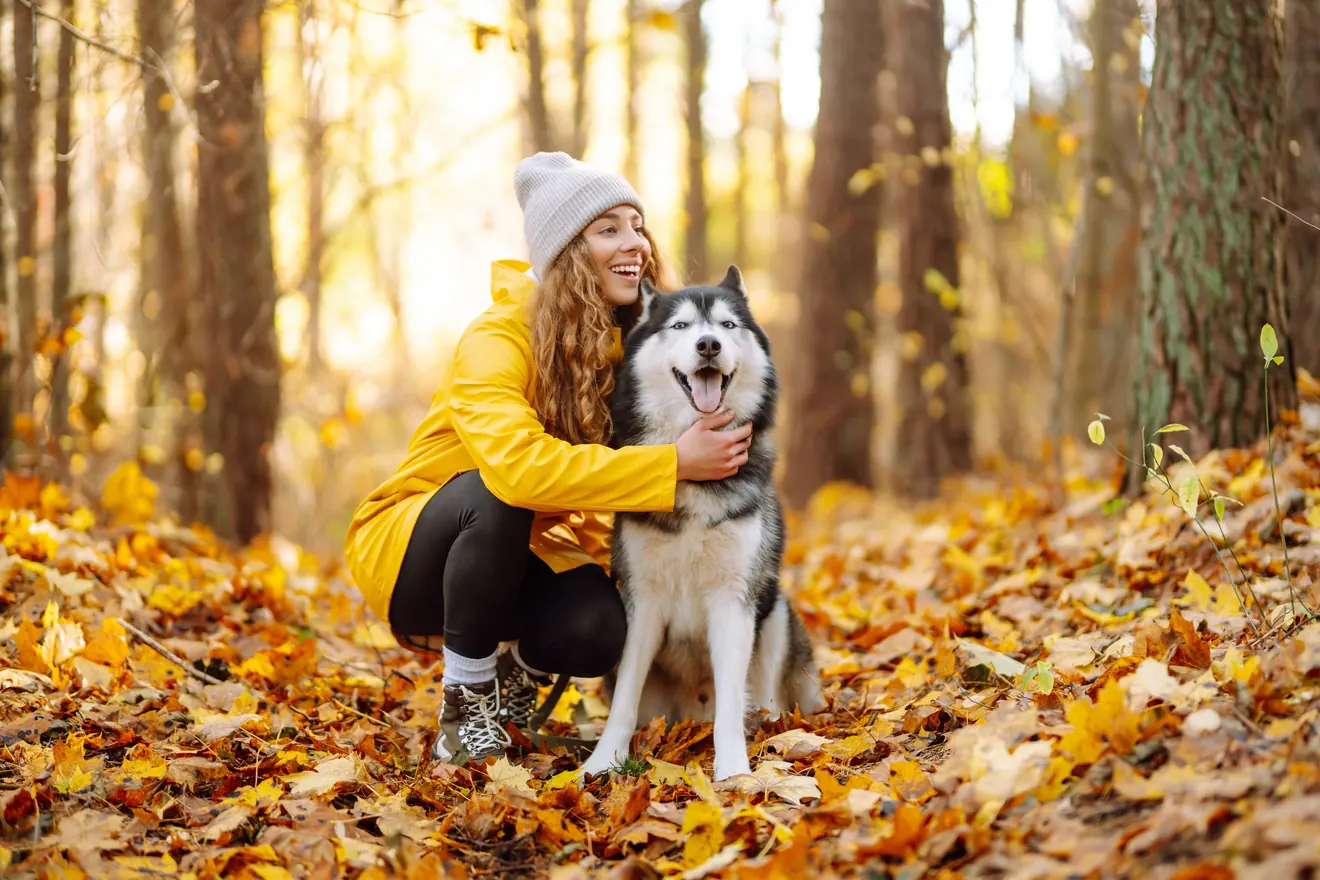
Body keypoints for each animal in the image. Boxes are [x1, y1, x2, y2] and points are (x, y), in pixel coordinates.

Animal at [580, 265, 818, 781]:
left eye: (727, 325)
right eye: (681, 326)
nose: (709, 344)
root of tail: (692, 712)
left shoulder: (734, 598)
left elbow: (731, 702)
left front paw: (733, 770)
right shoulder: (641, 601)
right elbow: (625, 697)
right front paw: (604, 760)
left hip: (774, 609)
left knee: (762, 698)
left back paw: (769, 728)